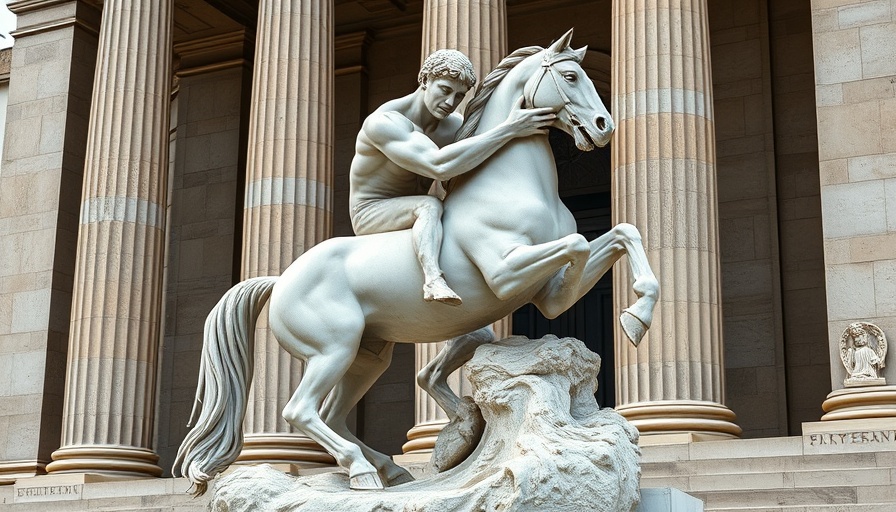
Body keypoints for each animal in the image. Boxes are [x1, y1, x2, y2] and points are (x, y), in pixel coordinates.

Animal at [175, 30, 656, 494]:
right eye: (571, 77)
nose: (605, 127)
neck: (509, 185)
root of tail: (280, 279)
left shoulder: (548, 293)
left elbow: (623, 232)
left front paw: (636, 318)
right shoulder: (506, 274)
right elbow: (577, 243)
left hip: (367, 356)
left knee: (334, 414)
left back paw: (392, 468)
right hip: (333, 349)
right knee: (300, 411)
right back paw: (363, 472)